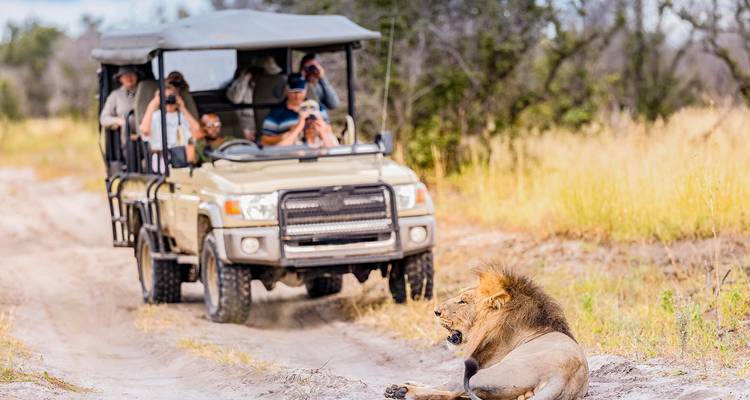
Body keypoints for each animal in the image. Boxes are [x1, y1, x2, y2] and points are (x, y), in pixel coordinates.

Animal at [384, 266, 588, 400]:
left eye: (463, 301)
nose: (436, 311)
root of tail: (562, 376)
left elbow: (444, 384)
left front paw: (406, 386)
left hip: (488, 373)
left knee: (452, 389)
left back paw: (401, 391)